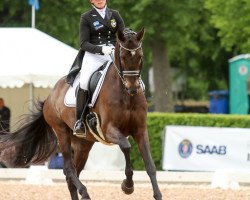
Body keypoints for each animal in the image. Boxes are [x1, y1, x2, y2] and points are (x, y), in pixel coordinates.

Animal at [0, 27, 162, 200]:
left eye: (140, 56)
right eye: (123, 57)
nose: (133, 88)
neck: (126, 95)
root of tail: (50, 96)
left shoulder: (140, 131)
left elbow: (150, 165)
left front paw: (157, 194)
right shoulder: (108, 130)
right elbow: (126, 146)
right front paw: (128, 186)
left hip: (83, 144)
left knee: (72, 175)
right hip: (62, 133)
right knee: (69, 169)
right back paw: (85, 192)